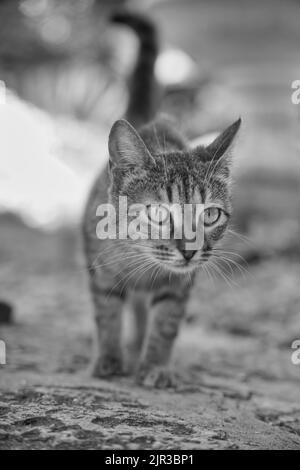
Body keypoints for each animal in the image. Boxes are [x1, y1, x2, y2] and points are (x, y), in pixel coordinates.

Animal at [82, 10, 241, 390]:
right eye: (157, 213)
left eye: (211, 215)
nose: (189, 251)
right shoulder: (100, 271)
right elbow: (107, 314)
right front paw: (109, 359)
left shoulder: (180, 285)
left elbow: (166, 324)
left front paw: (154, 364)